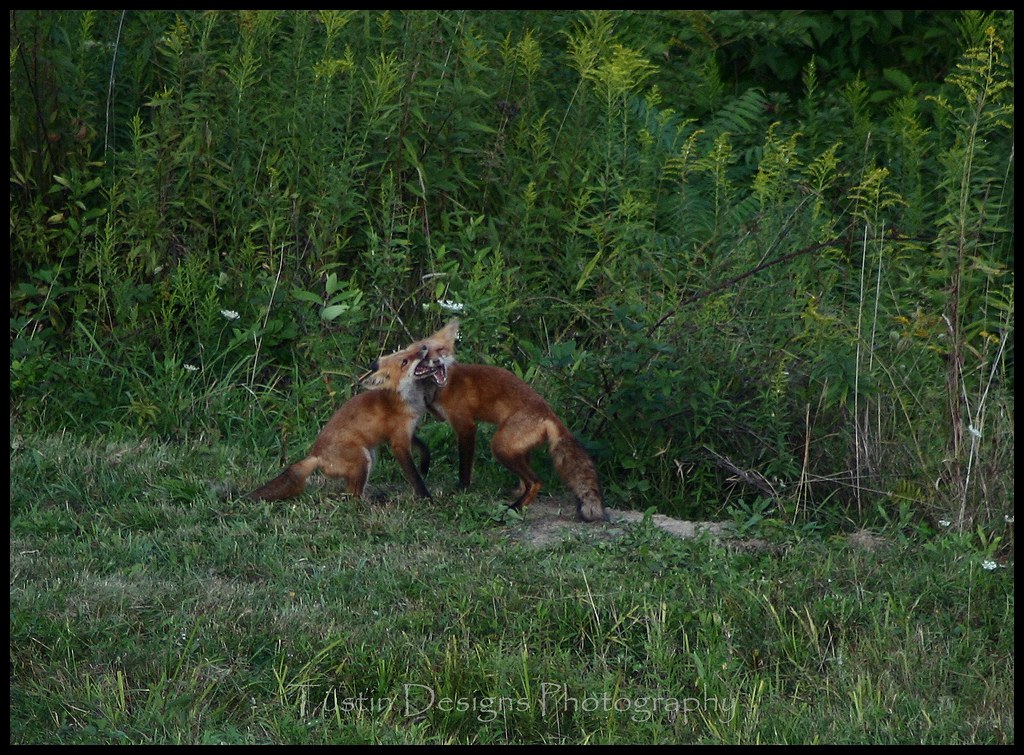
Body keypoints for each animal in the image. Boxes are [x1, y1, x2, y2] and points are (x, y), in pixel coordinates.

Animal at [247, 340, 439, 502]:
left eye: (408, 351)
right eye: (405, 361)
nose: (423, 347)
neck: (404, 400)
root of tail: (315, 456)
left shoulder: (406, 432)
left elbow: (424, 447)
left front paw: (425, 464)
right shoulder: (398, 442)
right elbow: (414, 476)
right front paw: (426, 497)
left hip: (369, 457)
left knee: (350, 492)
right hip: (363, 459)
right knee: (353, 497)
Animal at [367, 320, 609, 523]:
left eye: (441, 351)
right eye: (425, 357)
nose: (435, 361)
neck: (438, 389)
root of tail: (549, 413)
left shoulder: (465, 425)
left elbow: (465, 466)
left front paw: (462, 489)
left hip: (500, 446)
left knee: (535, 481)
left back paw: (515, 507)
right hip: (514, 448)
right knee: (526, 479)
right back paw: (516, 494)